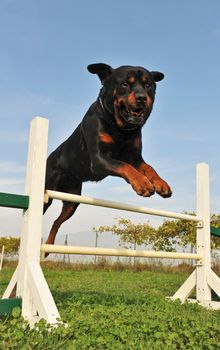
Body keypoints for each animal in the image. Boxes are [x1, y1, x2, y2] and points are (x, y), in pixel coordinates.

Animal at [44, 63, 172, 246]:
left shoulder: (135, 158)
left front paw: (161, 183)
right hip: (47, 194)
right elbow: (124, 166)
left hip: (72, 201)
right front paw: (142, 183)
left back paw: (48, 246)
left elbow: (149, 167)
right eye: (125, 84)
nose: (142, 97)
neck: (120, 128)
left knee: (57, 221)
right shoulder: (99, 159)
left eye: (148, 85)